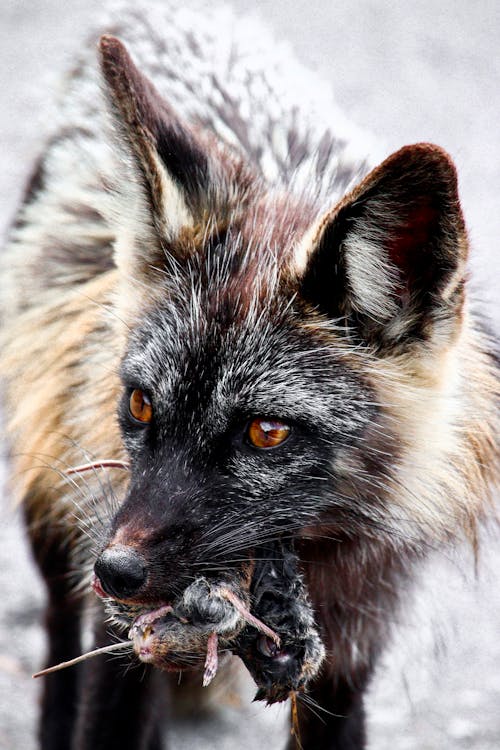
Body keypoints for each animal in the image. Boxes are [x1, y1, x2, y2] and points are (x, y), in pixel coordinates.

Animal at [0, 1, 498, 750]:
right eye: (141, 405)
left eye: (267, 433)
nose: (116, 573)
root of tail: (181, 16)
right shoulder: (120, 643)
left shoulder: (349, 659)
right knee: (59, 627)